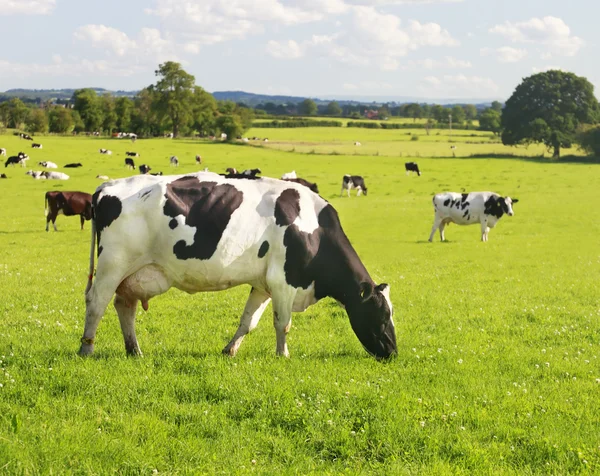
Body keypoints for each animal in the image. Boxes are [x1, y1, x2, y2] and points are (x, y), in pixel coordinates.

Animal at [81, 174, 398, 360]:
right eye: (381, 316)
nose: (393, 352)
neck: (313, 227)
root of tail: (107, 186)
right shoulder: (284, 281)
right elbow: (283, 323)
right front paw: (282, 355)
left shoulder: (263, 285)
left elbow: (249, 321)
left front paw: (230, 350)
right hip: (113, 265)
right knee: (96, 303)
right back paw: (87, 347)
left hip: (134, 273)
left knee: (124, 306)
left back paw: (134, 350)